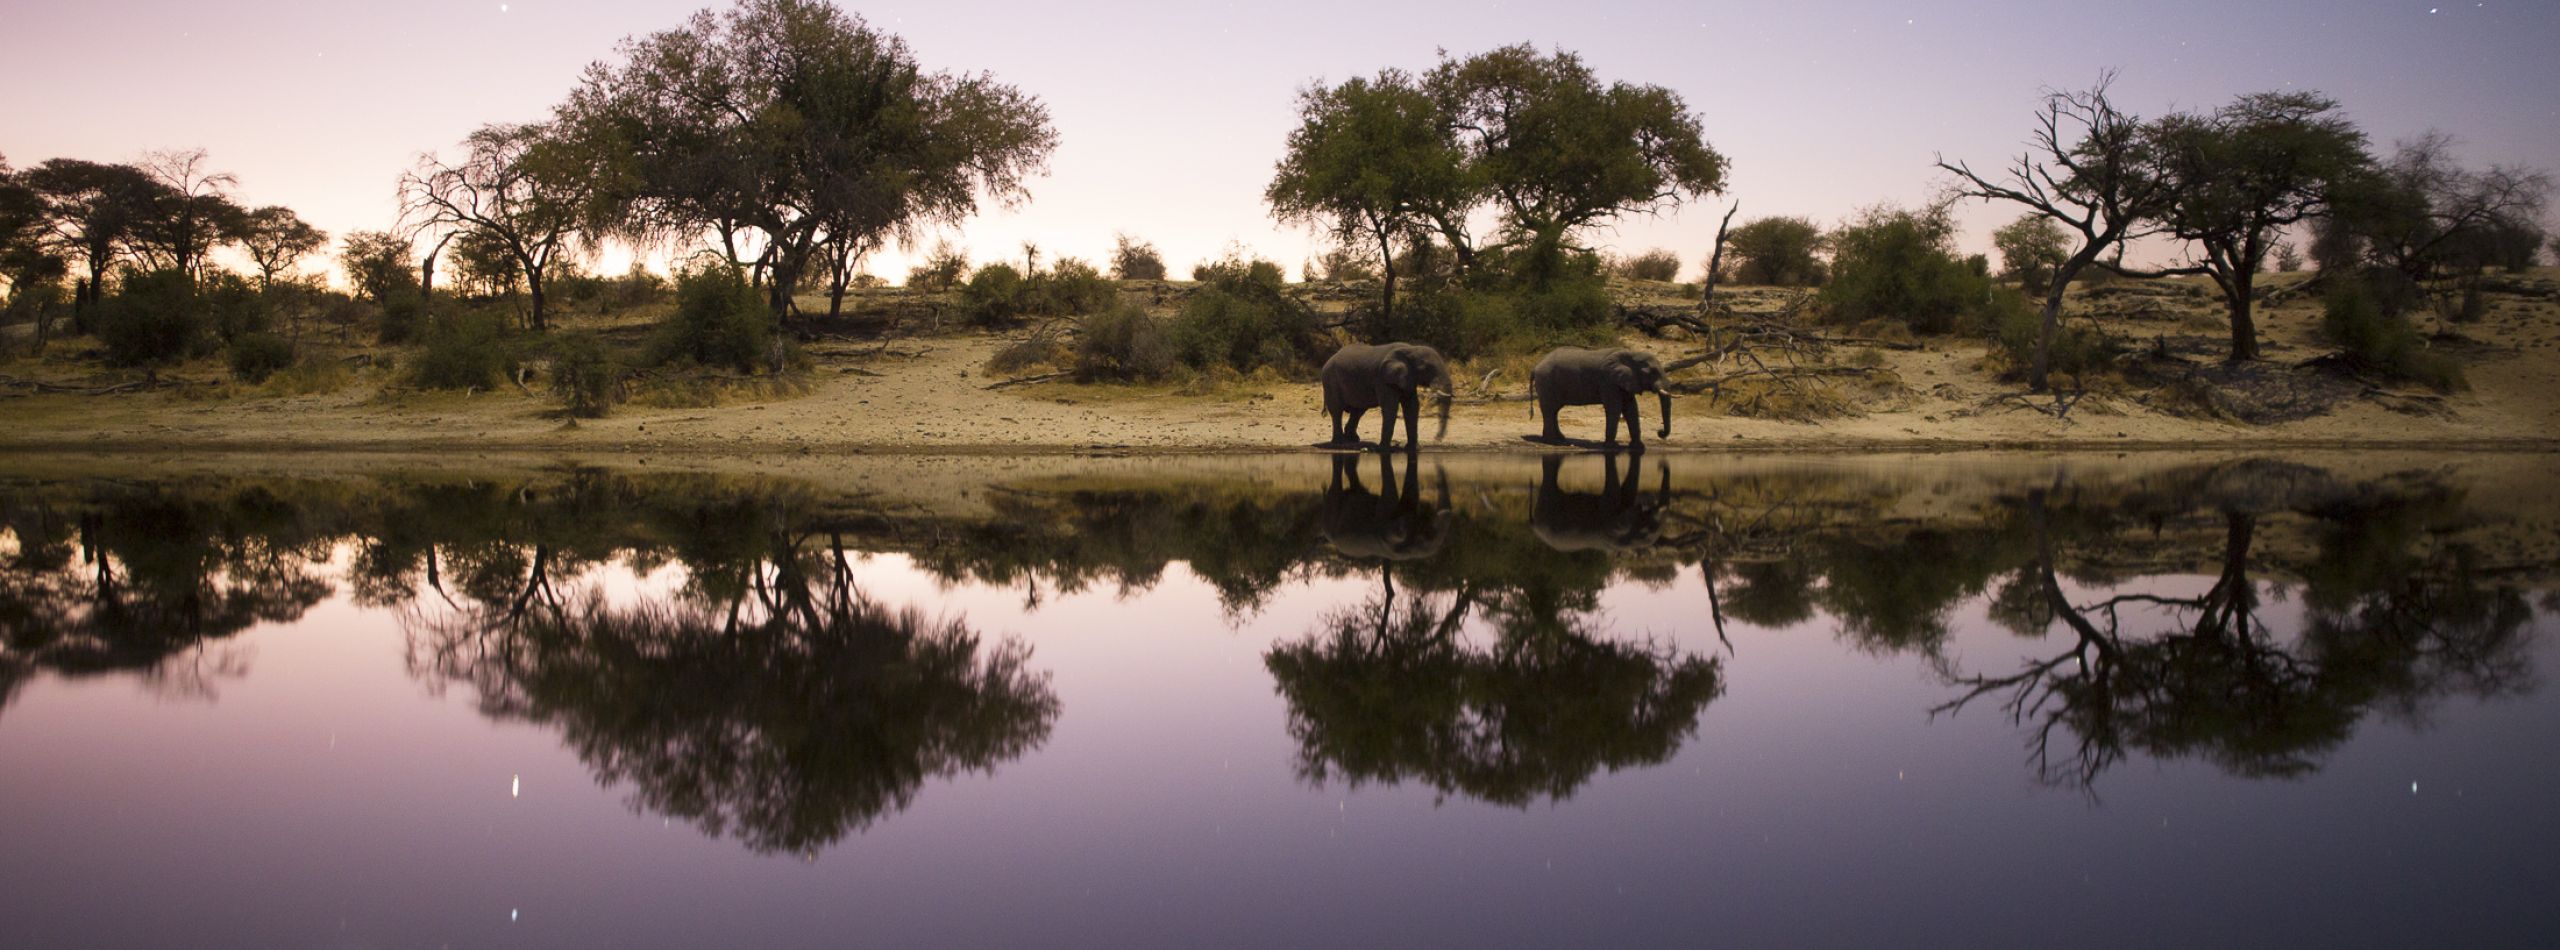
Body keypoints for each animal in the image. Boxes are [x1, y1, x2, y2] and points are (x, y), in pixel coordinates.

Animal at [1525, 350, 1669, 450]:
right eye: (1653, 372)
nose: (1660, 432)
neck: (1632, 354)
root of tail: (1535, 366)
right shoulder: (1608, 380)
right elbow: (1615, 407)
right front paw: (1612, 446)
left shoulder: (1625, 381)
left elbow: (1631, 408)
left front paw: (1638, 447)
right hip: (1546, 382)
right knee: (1550, 409)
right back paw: (1553, 442)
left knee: (1554, 410)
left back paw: (1560, 439)